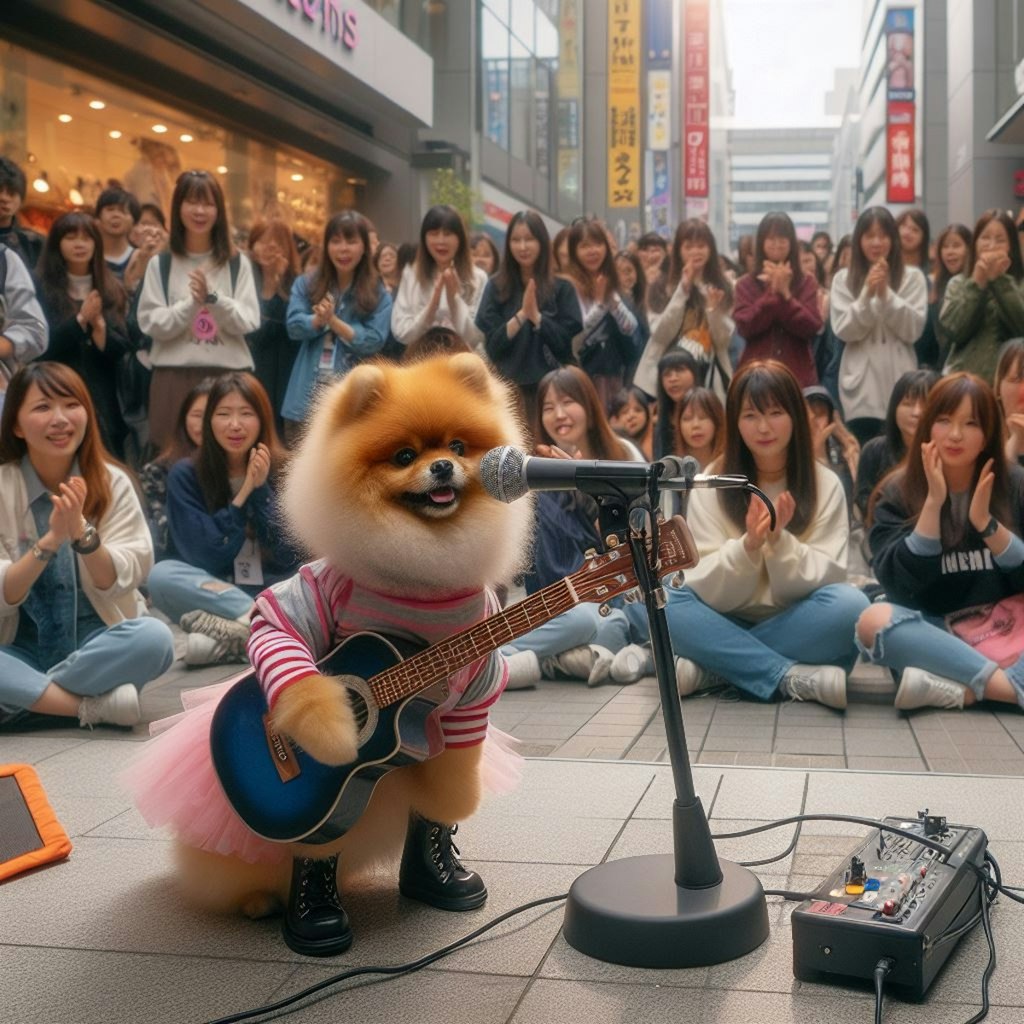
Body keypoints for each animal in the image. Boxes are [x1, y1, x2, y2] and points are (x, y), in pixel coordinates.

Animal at [132, 356, 532, 954]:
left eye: (460, 446)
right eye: (405, 456)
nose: (442, 466)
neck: (422, 585)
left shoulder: (475, 689)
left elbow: (445, 789)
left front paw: (442, 852)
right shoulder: (303, 600)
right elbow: (276, 628)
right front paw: (328, 729)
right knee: (305, 849)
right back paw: (292, 907)